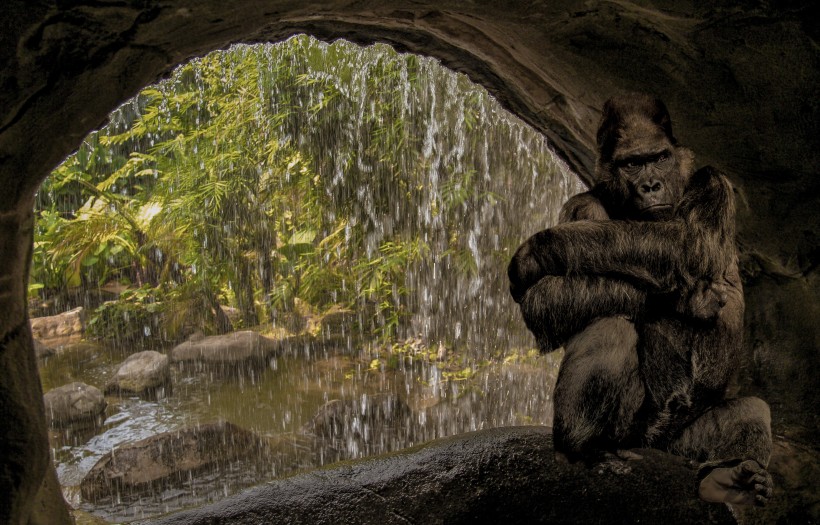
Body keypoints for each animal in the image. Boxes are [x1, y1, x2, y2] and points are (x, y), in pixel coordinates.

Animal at [510, 93, 772, 504]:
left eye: (659, 158)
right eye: (632, 164)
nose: (651, 185)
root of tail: (652, 445)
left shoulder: (713, 182)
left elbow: (689, 243)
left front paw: (538, 250)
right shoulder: (581, 205)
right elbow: (550, 297)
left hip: (676, 447)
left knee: (751, 409)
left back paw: (728, 479)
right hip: (632, 436)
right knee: (609, 326)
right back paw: (580, 449)